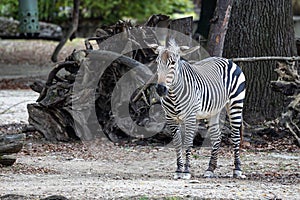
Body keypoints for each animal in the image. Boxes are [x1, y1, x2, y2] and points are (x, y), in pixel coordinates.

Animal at [155, 39, 246, 180]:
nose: (160, 89)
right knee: (216, 137)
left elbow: (187, 142)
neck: (173, 95)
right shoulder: (170, 118)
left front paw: (186, 171)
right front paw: (178, 170)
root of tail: (227, 60)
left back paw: (237, 169)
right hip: (212, 112)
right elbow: (177, 143)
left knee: (235, 136)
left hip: (236, 104)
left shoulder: (190, 117)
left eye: (173, 63)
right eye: (157, 62)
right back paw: (210, 169)